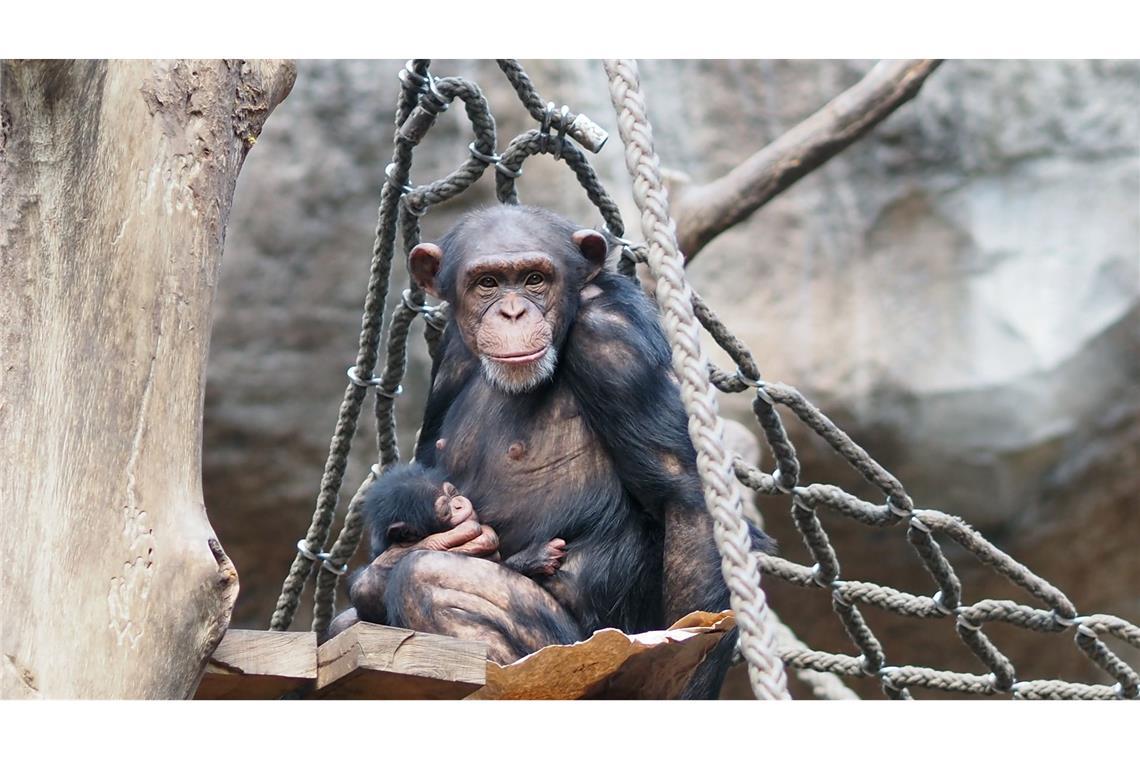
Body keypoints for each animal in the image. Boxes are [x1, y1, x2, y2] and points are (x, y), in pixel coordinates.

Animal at [339, 205, 766, 697]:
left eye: (534, 279)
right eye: (487, 283)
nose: (512, 311)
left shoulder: (611, 338)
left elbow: (686, 495)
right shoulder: (450, 351)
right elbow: (420, 471)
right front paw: (386, 563)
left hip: (582, 648)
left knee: (428, 577)